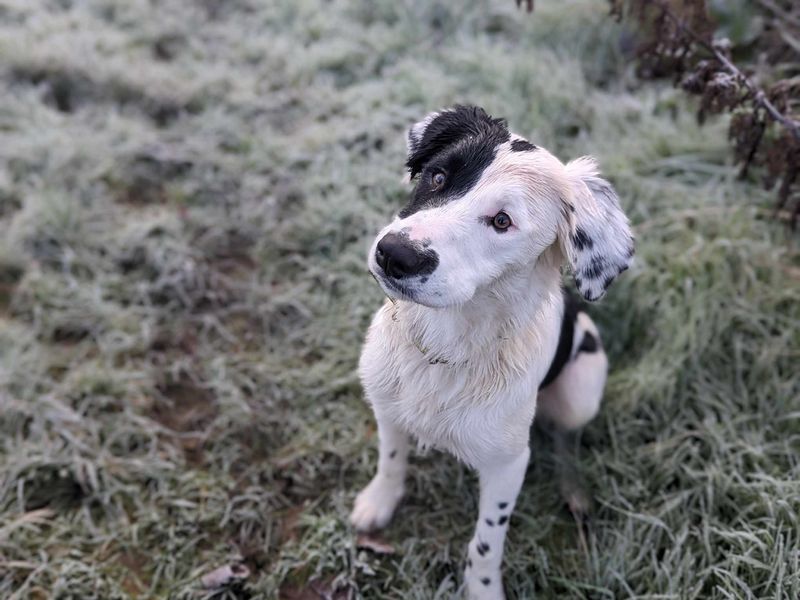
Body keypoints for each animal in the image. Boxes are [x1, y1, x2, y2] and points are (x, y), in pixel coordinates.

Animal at [346, 105, 636, 596]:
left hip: (580, 391)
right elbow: (390, 461)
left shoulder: (507, 465)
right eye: (438, 176)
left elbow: (485, 542)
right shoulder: (386, 405)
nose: (395, 255)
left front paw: (483, 588)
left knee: (566, 437)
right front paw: (378, 503)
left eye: (503, 221)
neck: (445, 349)